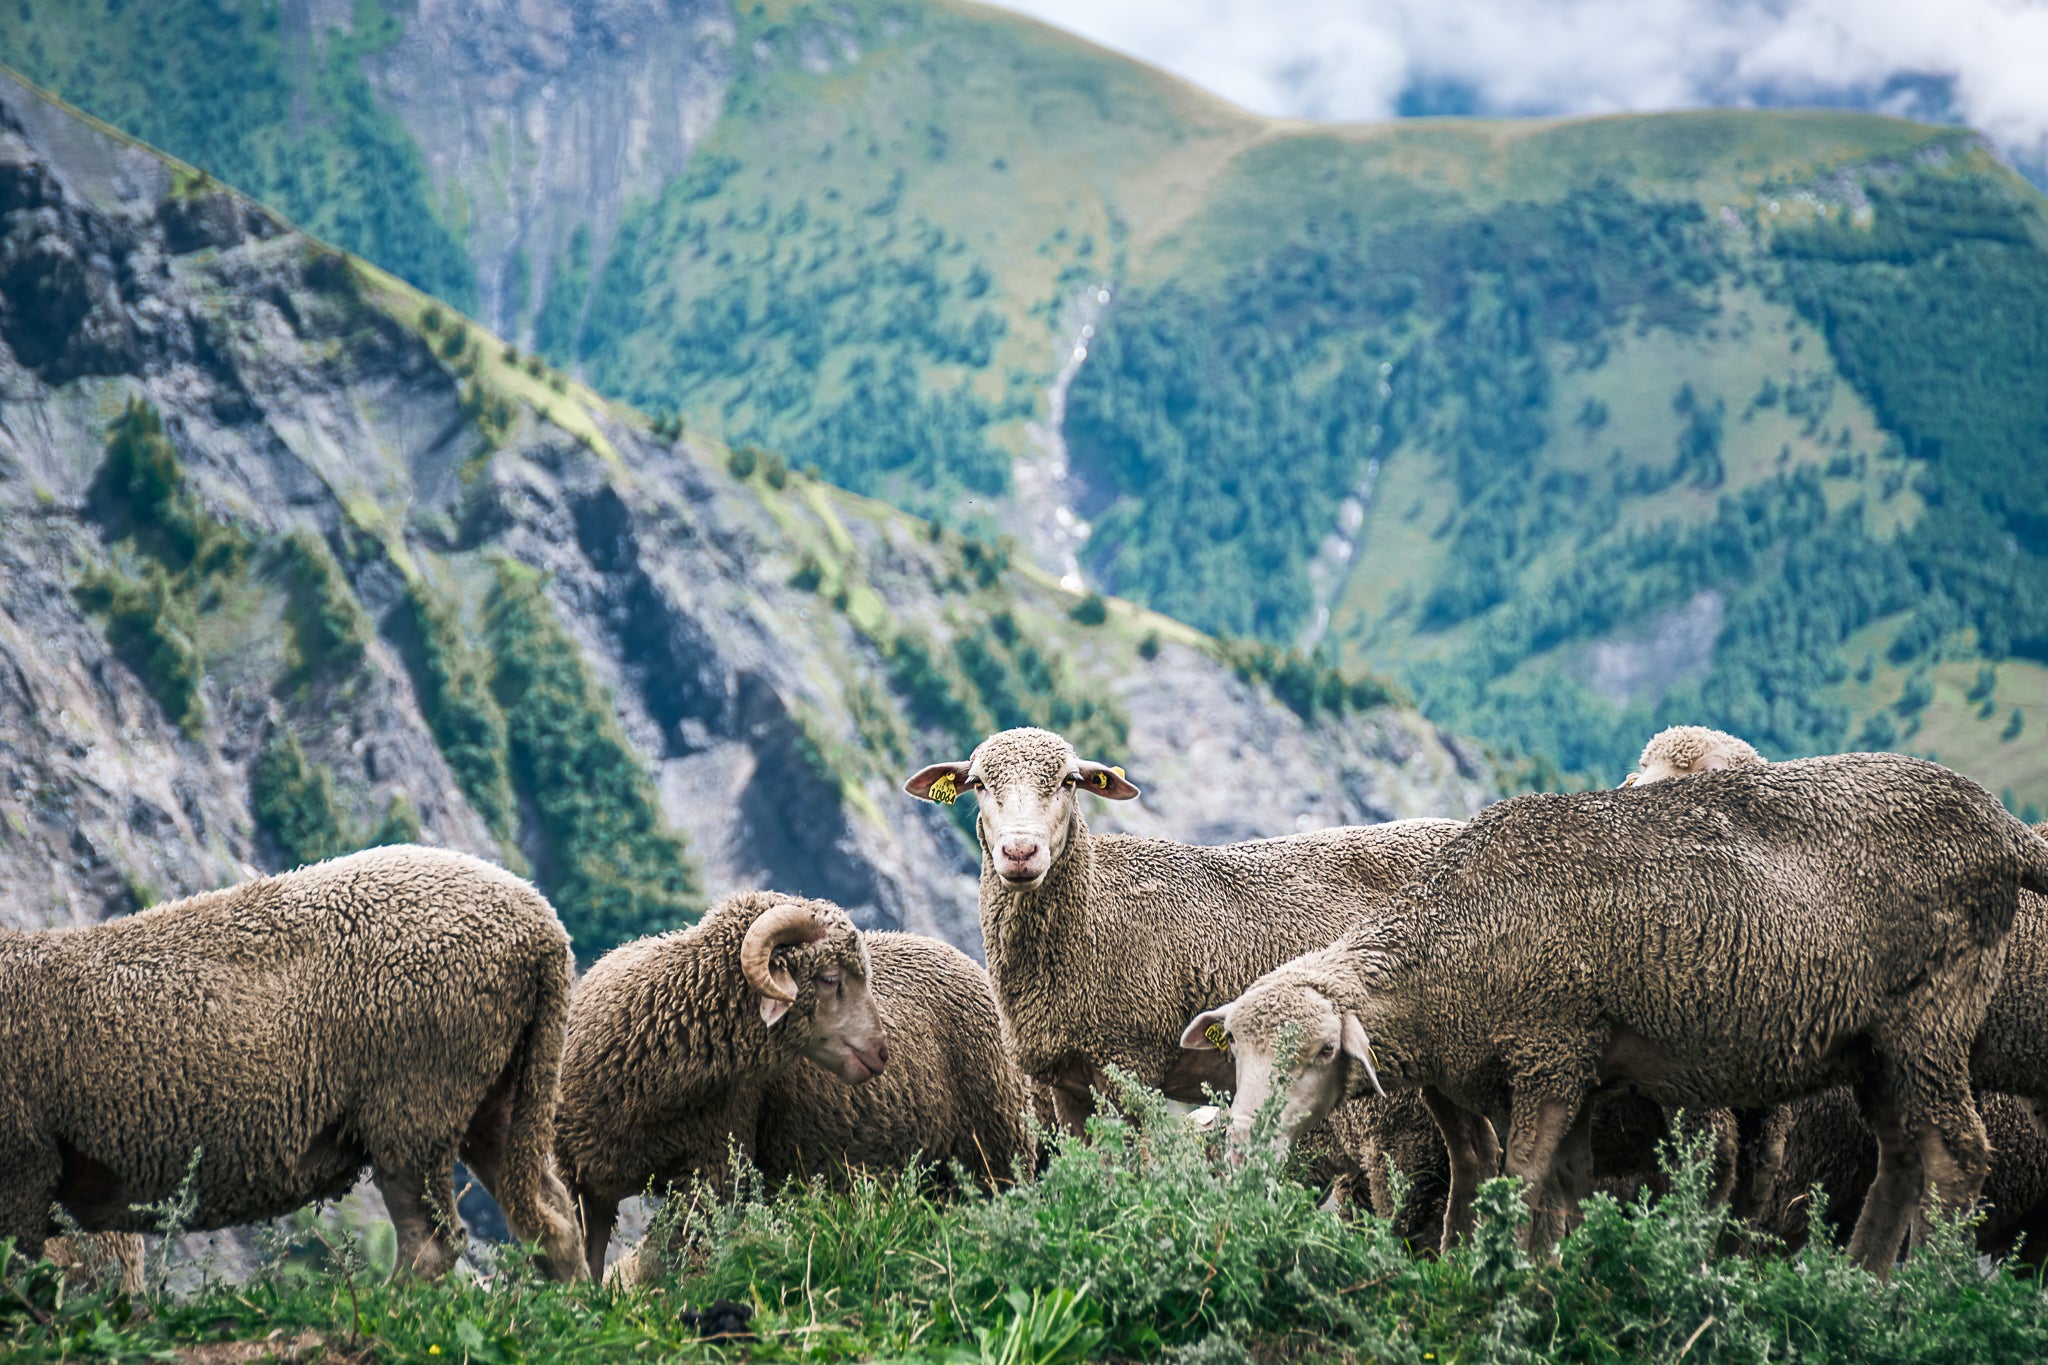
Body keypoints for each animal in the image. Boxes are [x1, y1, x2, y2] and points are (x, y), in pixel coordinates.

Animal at [0, 845, 585, 1281]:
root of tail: (544, 927)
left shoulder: (24, 1166)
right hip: (499, 1092)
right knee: (551, 1214)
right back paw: (570, 1307)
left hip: (414, 1098)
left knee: (433, 1244)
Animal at [1180, 752, 2048, 1272]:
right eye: (1236, 1050)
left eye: (1322, 1052)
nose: (1242, 1144)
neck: (1449, 939)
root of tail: (1999, 825)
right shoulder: (1536, 1074)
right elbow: (1554, 1182)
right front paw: (1545, 1272)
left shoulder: (1551, 1052)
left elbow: (1522, 1178)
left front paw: (1506, 1275)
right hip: (1876, 1042)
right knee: (1901, 1156)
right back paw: (1857, 1280)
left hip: (1931, 1015)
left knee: (1957, 1155)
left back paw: (1919, 1291)